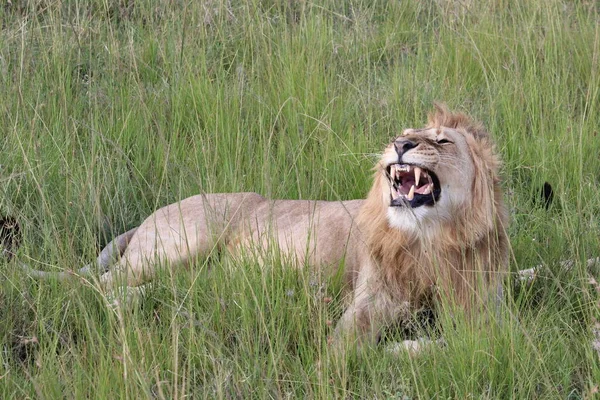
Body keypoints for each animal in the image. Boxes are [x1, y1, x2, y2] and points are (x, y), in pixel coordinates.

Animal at [18, 105, 506, 346]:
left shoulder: (484, 311)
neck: (429, 240)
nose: (399, 144)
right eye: (403, 133)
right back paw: (122, 307)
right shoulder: (370, 299)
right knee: (97, 285)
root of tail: (145, 219)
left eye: (441, 140)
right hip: (179, 244)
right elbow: (348, 344)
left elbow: (469, 343)